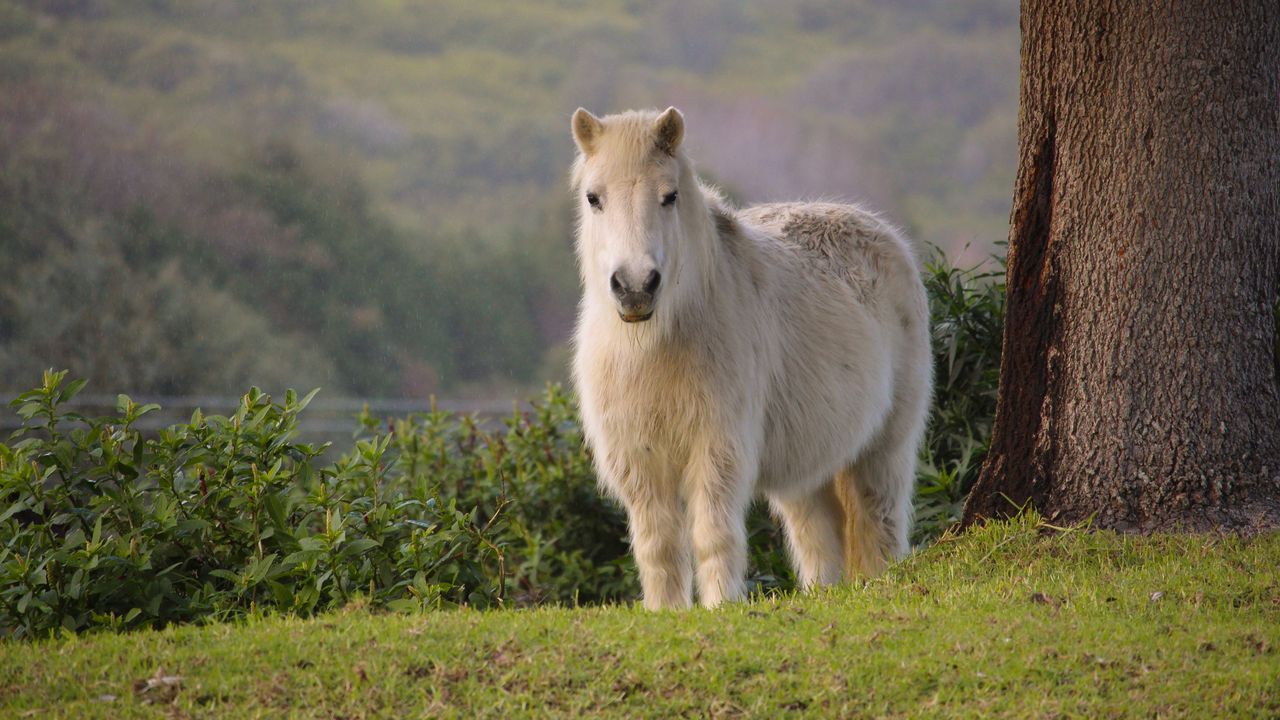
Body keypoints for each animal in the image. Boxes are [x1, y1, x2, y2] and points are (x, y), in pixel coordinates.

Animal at [570, 109, 931, 607]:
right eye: (594, 198)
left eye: (669, 196)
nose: (636, 287)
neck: (655, 346)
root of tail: (882, 233)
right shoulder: (638, 461)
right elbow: (657, 546)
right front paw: (666, 612)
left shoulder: (717, 448)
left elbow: (712, 535)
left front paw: (721, 606)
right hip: (807, 471)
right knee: (819, 539)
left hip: (884, 449)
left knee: (881, 523)